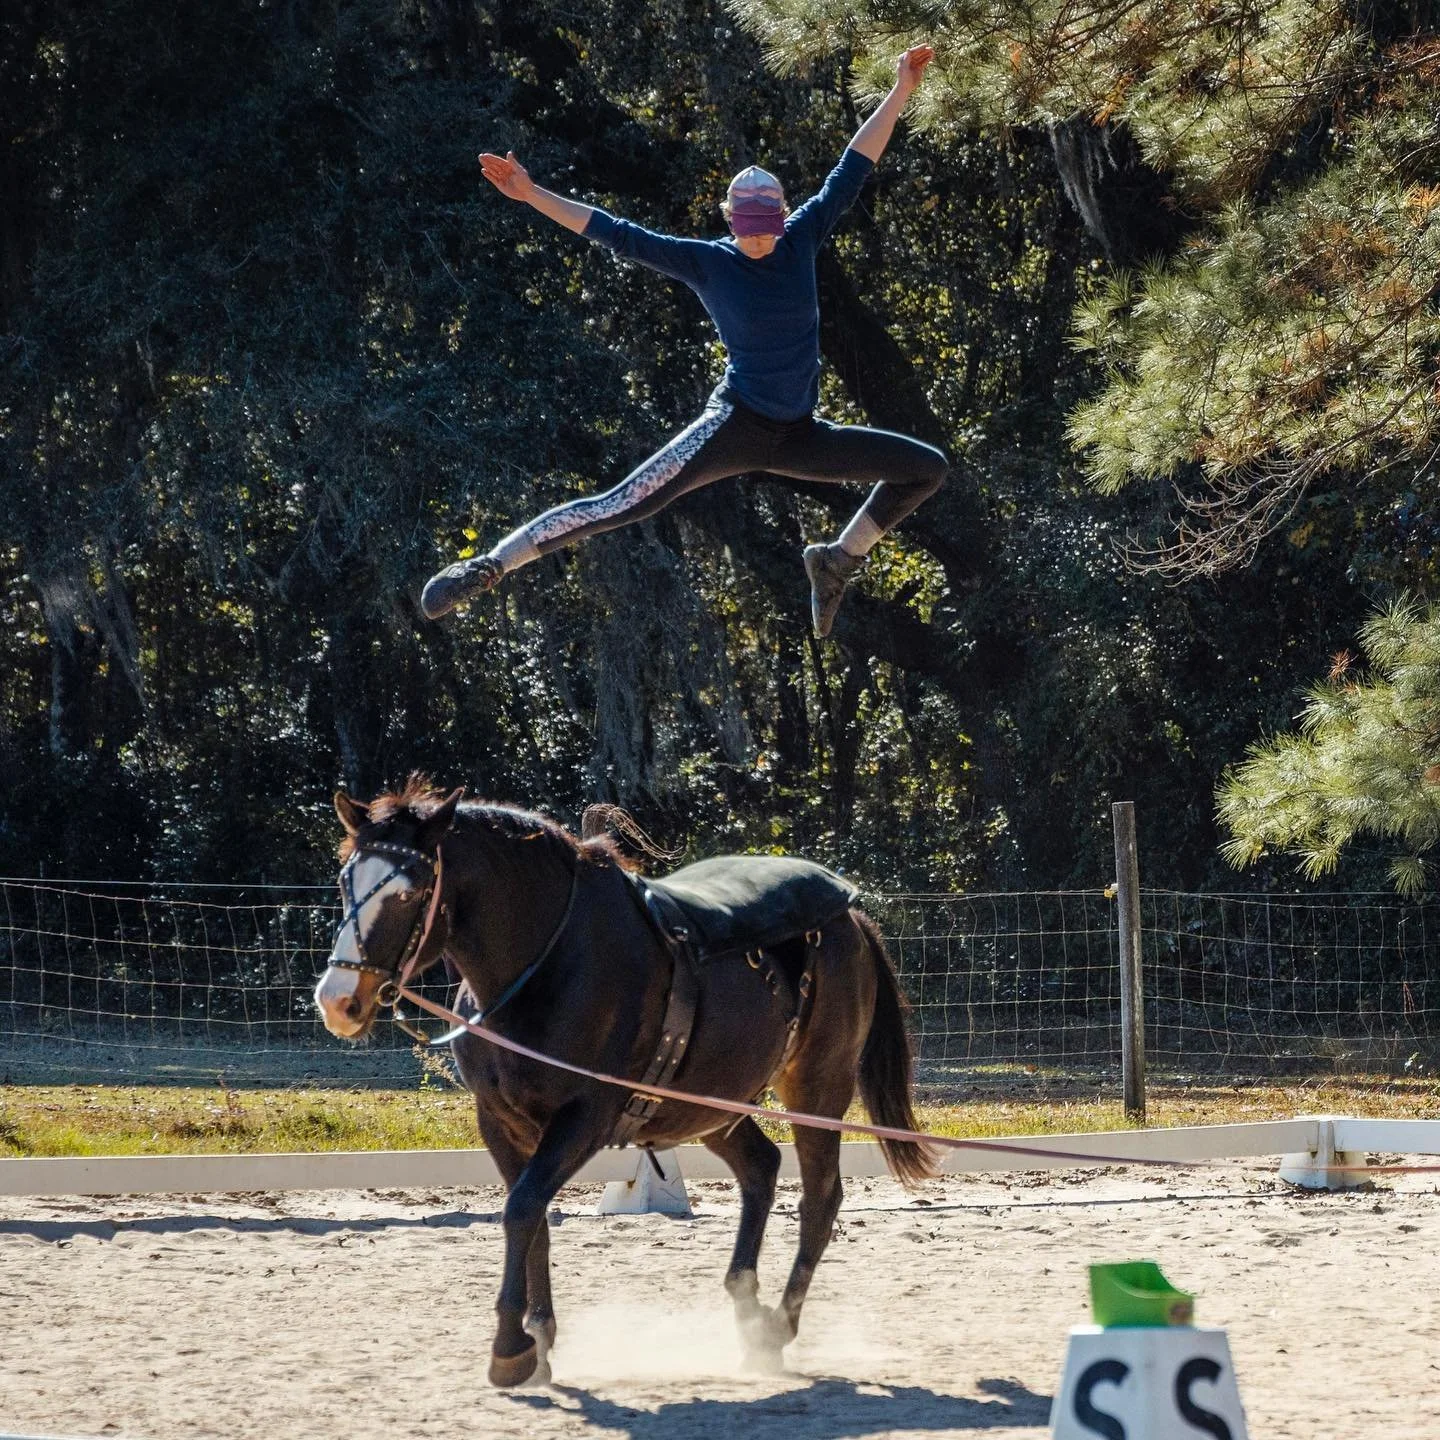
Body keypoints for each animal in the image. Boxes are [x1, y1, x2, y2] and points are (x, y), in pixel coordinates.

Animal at [313, 777, 937, 1387]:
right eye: (345, 880)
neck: (548, 963)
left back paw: (778, 1327)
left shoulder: (586, 1117)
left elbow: (521, 1209)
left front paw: (511, 1348)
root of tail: (851, 919)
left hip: (816, 1087)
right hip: (710, 1104)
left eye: (408, 892)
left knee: (820, 1198)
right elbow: (531, 1216)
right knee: (761, 1168)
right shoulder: (499, 1120)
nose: (339, 1001)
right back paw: (747, 1308)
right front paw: (540, 1339)